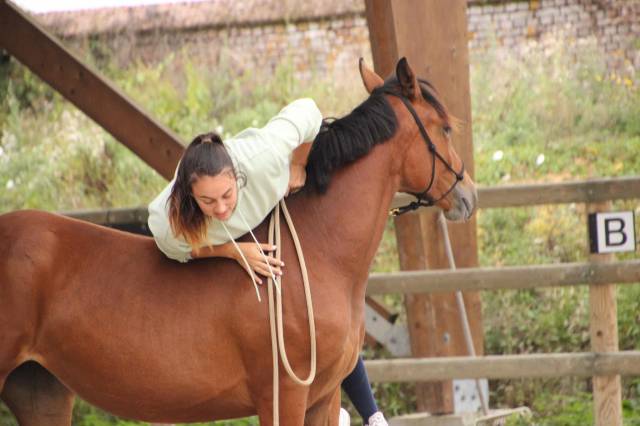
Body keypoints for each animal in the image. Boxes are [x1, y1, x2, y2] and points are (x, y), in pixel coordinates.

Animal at [0, 57, 477, 425]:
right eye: (445, 128)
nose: (468, 195)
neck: (317, 253)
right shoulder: (284, 398)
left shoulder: (323, 399)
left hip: (40, 391)